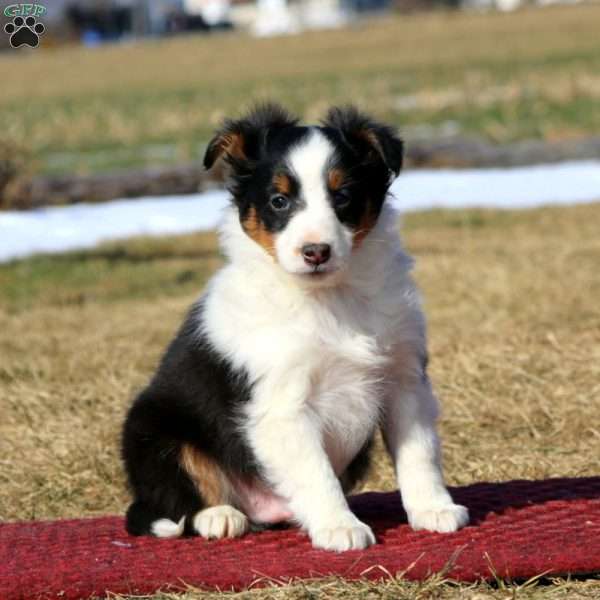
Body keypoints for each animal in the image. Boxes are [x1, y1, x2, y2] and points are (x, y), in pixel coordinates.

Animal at [122, 103, 468, 552]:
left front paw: (434, 508)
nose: (315, 252)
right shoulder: (283, 404)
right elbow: (316, 472)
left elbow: (419, 453)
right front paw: (340, 527)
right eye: (279, 200)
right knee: (175, 497)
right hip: (152, 429)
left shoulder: (404, 379)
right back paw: (220, 517)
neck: (329, 298)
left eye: (343, 196)